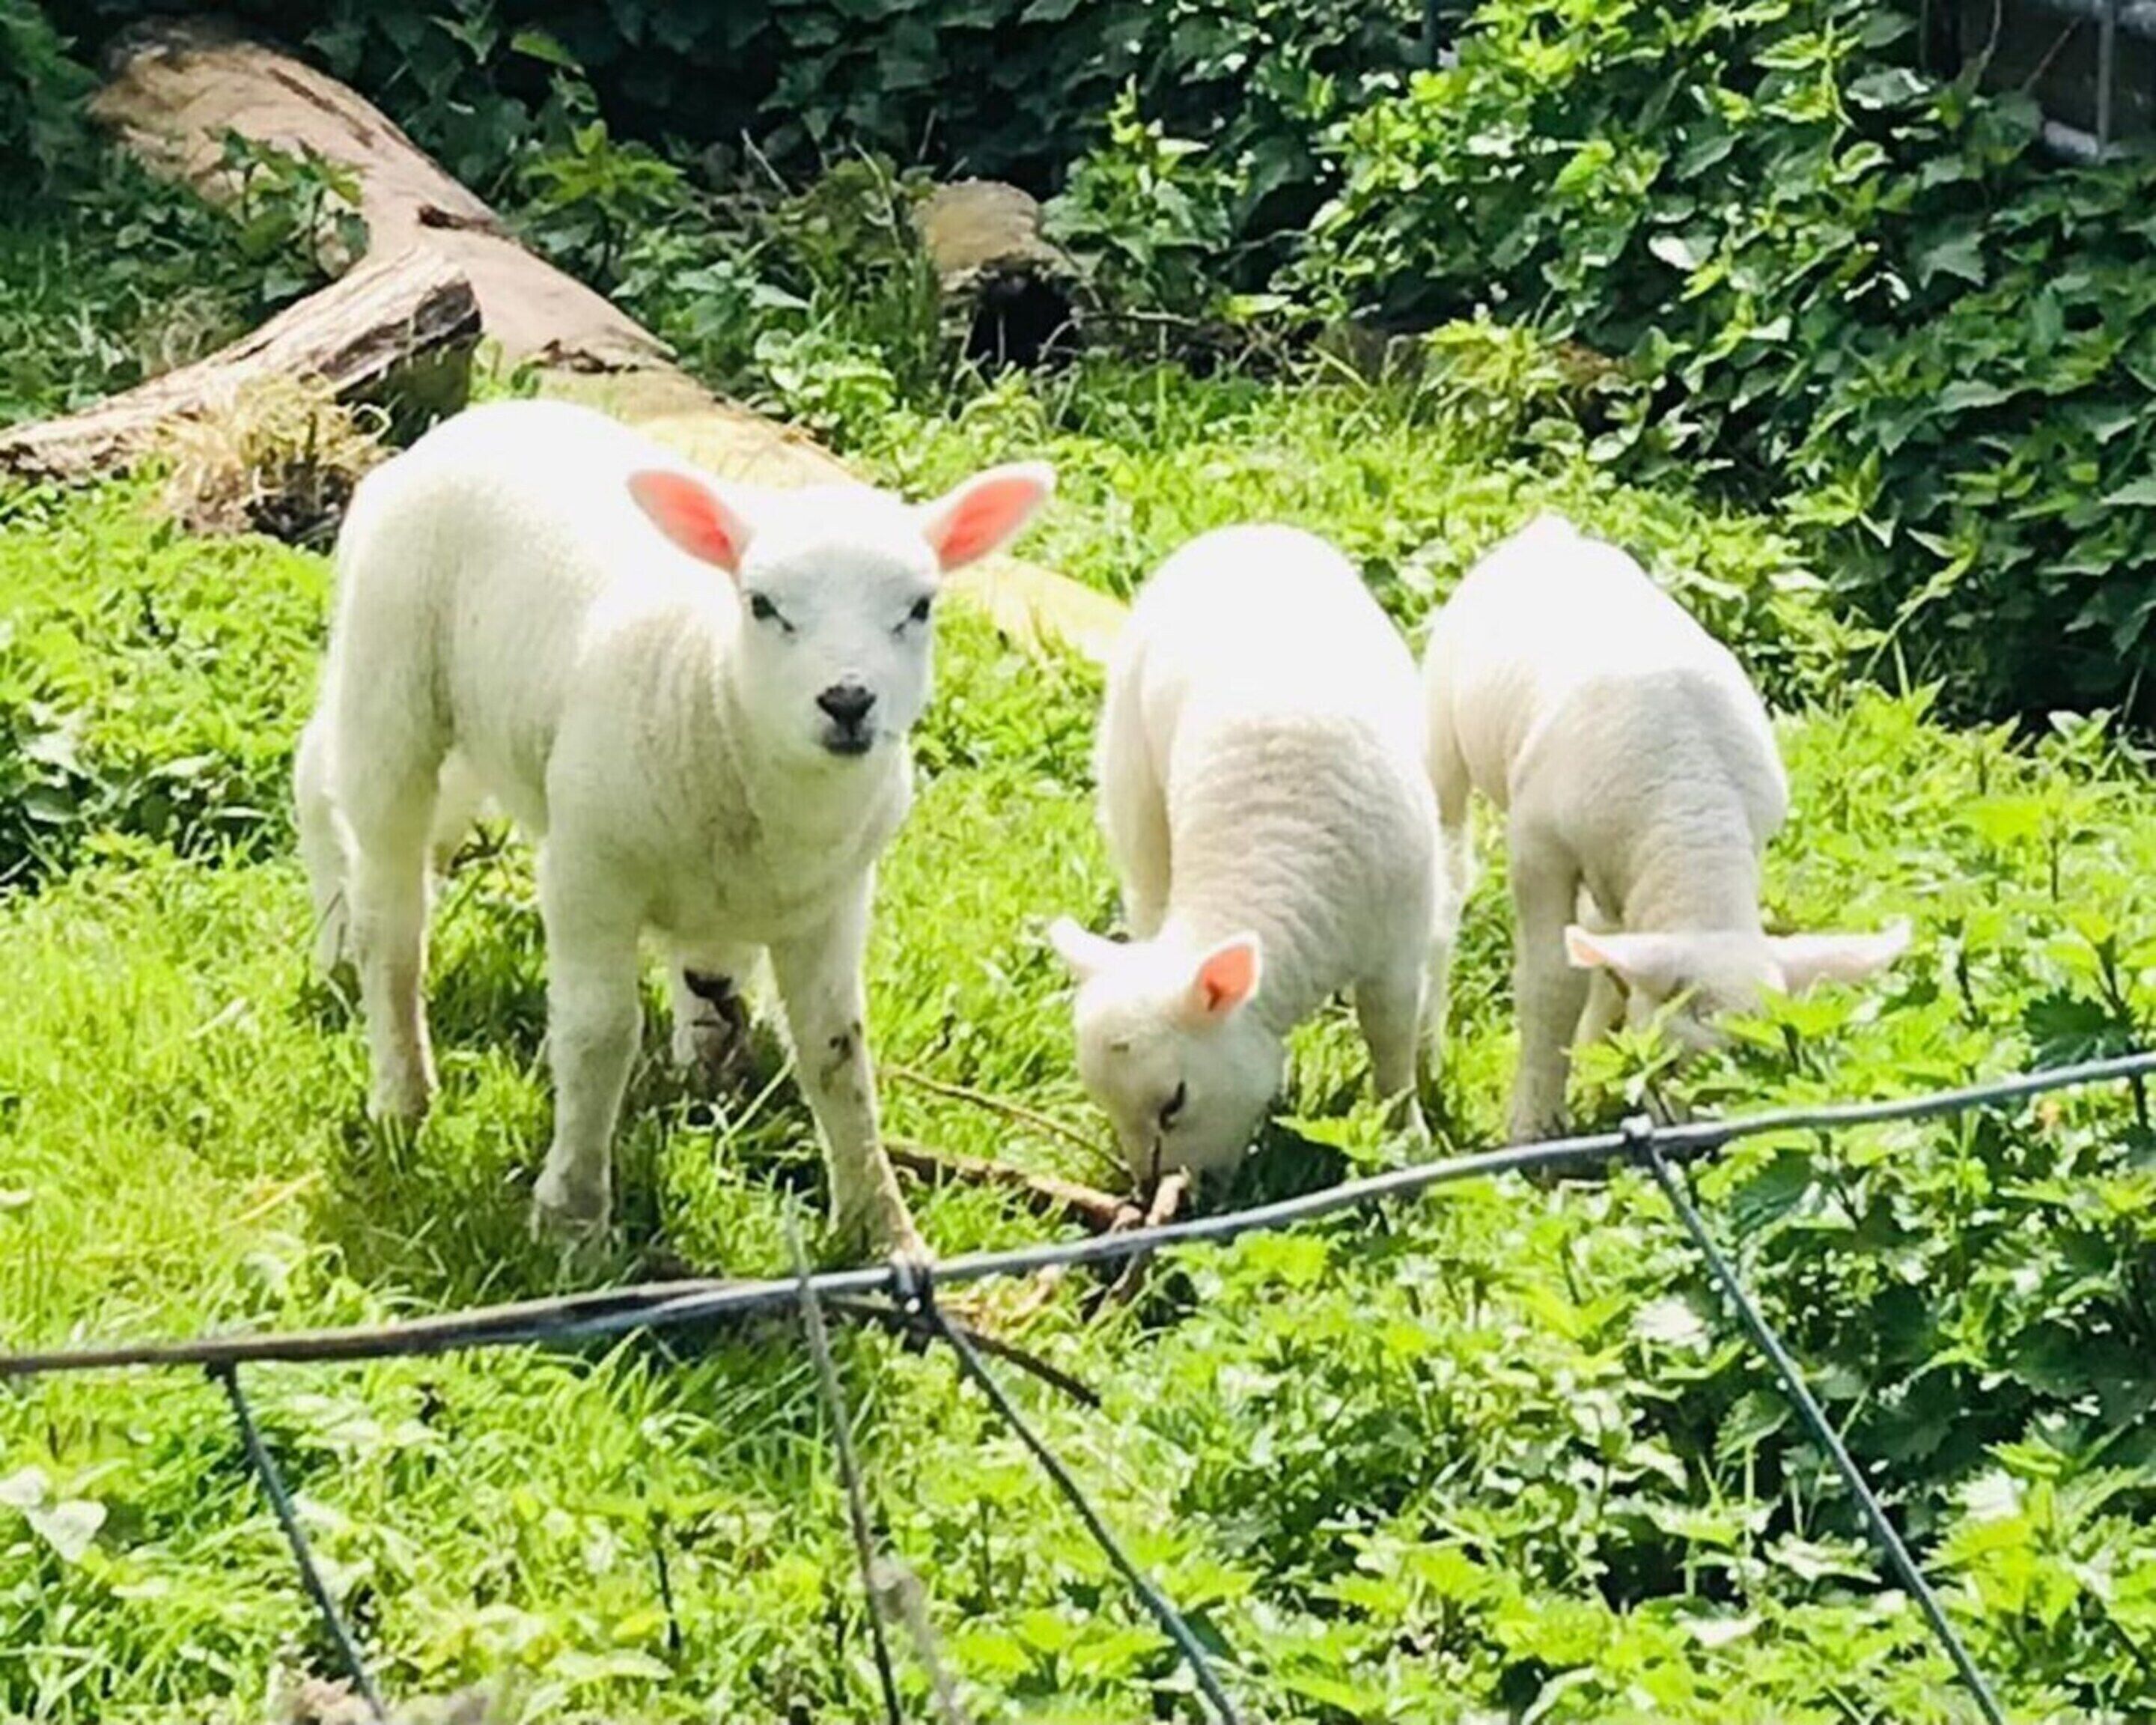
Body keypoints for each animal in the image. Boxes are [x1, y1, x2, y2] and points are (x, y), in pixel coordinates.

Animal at [294, 397, 1053, 1254]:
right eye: (762, 605)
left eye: (919, 608)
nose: (849, 700)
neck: (715, 692)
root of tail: (475, 421)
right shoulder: (588, 874)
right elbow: (598, 1035)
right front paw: (573, 1218)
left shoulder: (831, 901)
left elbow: (836, 1052)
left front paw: (880, 1228)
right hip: (393, 681)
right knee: (385, 899)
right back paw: (392, 1066)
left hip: (484, 730)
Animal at [1049, 524, 1447, 1189]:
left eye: (1175, 1102)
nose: (1163, 1194)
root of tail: (1244, 532)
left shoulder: (1397, 942)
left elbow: (1390, 1031)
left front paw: (1406, 1132)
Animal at [1421, 511, 1908, 1141]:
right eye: (1677, 1060)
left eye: (1772, 1060)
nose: (1704, 1147)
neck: (1689, 820)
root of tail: (1550, 531)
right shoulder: (1538, 848)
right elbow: (1552, 983)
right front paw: (1536, 1124)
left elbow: (1605, 972)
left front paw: (1596, 1072)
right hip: (1443, 732)